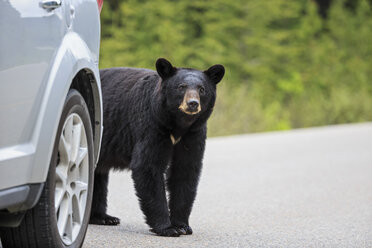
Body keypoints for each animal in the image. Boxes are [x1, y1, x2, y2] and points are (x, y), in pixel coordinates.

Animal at [91, 57, 224, 236]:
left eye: (202, 89)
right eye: (181, 87)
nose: (192, 104)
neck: (178, 125)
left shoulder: (194, 133)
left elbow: (185, 170)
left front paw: (182, 225)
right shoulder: (152, 126)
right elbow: (148, 166)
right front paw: (167, 228)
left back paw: (104, 217)